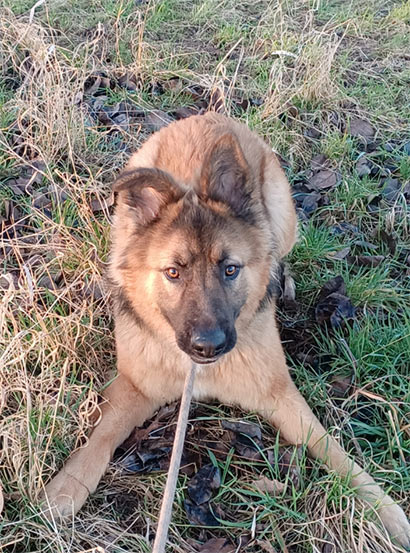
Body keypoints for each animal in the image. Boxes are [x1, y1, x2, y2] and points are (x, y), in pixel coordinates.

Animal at [43, 112, 410, 547]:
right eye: (174, 272)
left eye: (230, 269)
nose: (208, 346)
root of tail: (208, 115)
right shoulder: (133, 388)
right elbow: (98, 439)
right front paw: (62, 491)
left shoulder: (279, 394)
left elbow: (332, 449)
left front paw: (384, 509)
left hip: (281, 215)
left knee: (277, 250)